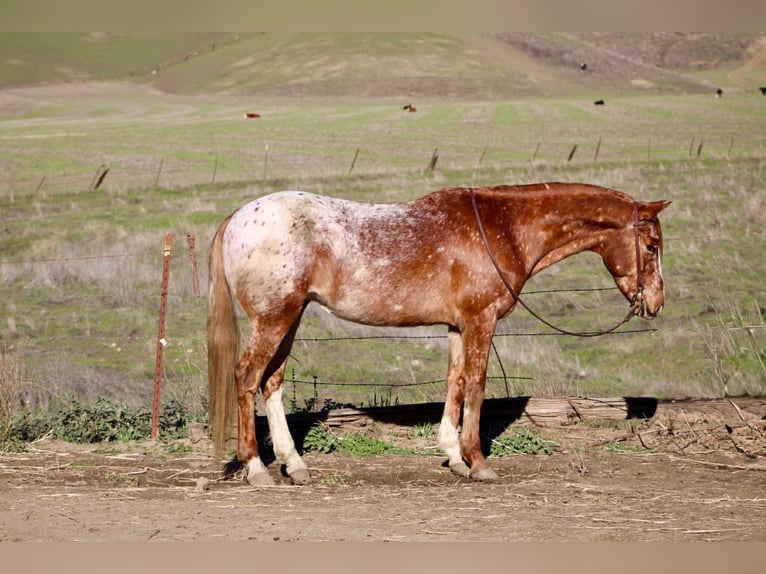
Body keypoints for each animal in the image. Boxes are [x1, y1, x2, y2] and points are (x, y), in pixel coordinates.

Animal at [207, 183, 670, 484]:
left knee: (271, 384)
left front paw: (454, 455)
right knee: (247, 378)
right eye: (652, 246)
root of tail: (236, 218)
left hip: (290, 317)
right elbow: (477, 384)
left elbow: (456, 383)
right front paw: (478, 462)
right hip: (274, 318)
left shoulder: (457, 326)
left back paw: (294, 465)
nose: (655, 302)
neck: (503, 228)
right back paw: (256, 468)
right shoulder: (481, 320)